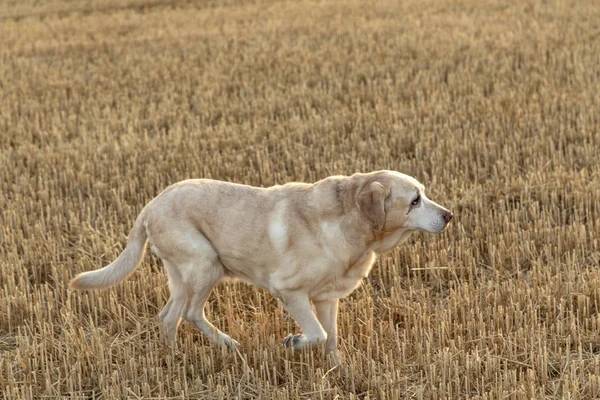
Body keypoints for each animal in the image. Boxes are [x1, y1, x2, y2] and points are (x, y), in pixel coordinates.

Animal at [69, 170, 450, 364]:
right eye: (415, 200)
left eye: (423, 195)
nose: (449, 215)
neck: (352, 221)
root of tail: (149, 207)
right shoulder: (290, 292)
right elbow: (317, 334)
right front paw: (293, 343)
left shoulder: (327, 298)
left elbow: (331, 340)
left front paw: (336, 371)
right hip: (205, 263)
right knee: (188, 312)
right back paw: (217, 346)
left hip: (184, 274)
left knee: (170, 316)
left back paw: (179, 356)